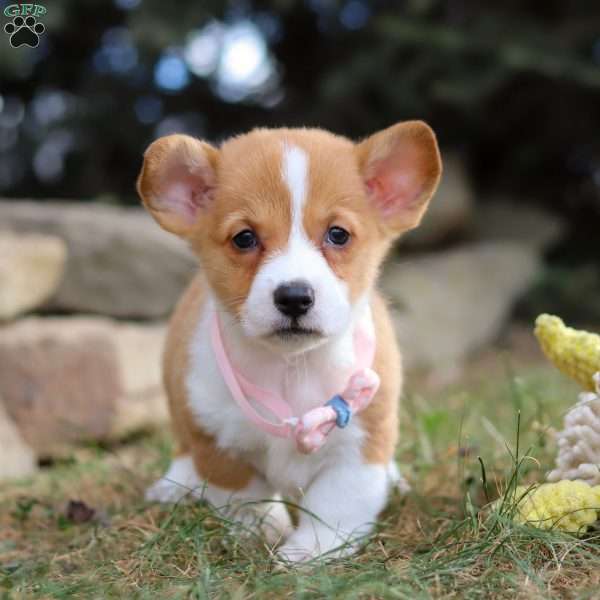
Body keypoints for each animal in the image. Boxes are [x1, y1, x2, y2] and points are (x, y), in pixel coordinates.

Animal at [139, 123, 440, 564]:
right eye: (244, 238)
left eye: (338, 234)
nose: (295, 296)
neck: (291, 368)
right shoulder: (218, 443)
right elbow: (246, 497)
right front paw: (264, 529)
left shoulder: (360, 444)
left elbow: (336, 504)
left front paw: (308, 552)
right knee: (181, 445)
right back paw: (174, 484)